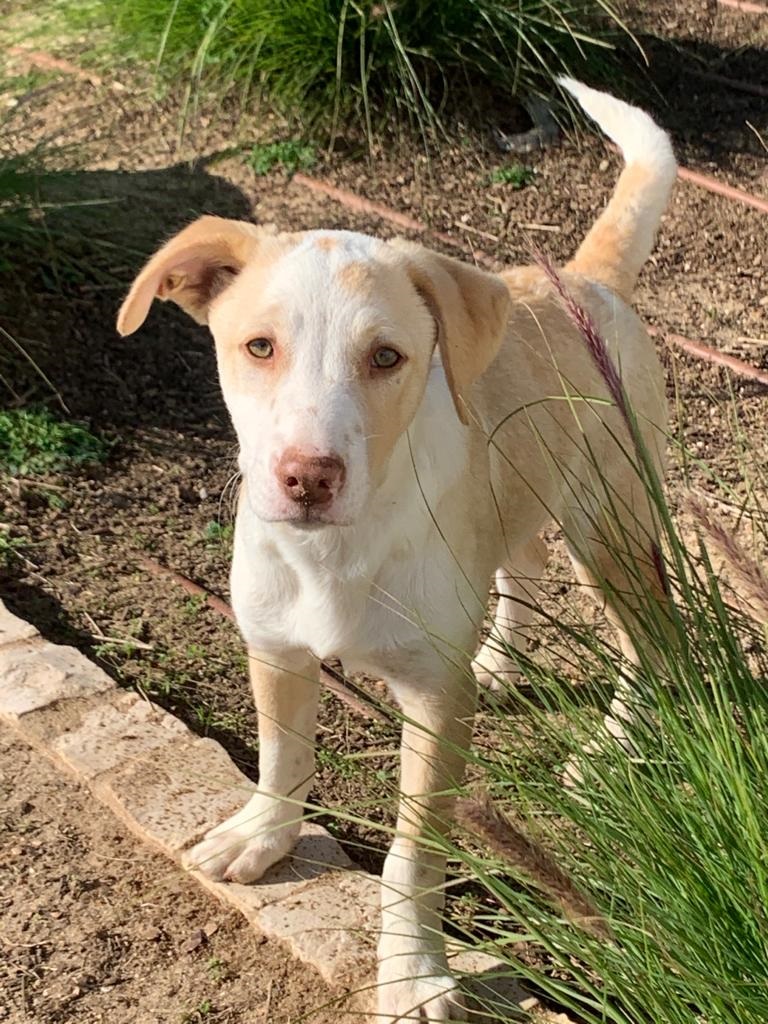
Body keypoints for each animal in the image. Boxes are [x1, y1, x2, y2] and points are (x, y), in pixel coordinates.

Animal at [117, 79, 676, 1021]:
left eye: (387, 357)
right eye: (258, 346)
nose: (307, 476)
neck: (338, 554)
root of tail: (583, 283)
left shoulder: (434, 705)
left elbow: (411, 859)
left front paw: (413, 972)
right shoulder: (274, 645)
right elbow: (282, 755)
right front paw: (263, 834)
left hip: (609, 522)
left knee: (651, 632)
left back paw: (615, 742)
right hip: (520, 499)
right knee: (518, 570)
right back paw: (500, 662)